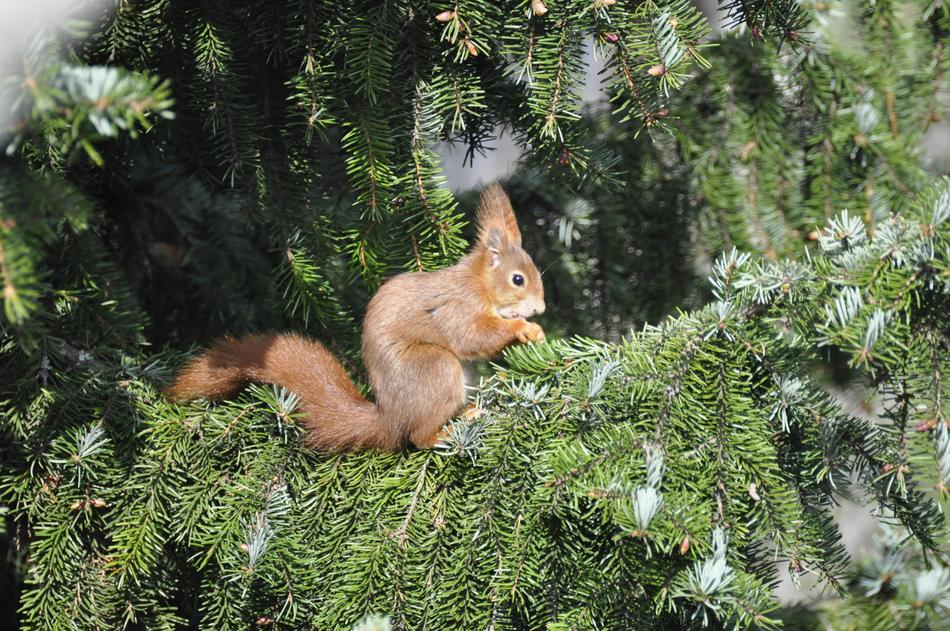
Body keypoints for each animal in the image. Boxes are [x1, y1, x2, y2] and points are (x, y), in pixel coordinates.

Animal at [165, 184, 546, 451]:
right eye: (518, 279)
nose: (540, 309)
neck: (479, 284)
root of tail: (391, 419)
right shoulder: (458, 307)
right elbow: (471, 337)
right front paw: (524, 329)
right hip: (434, 368)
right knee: (417, 437)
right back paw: (444, 433)